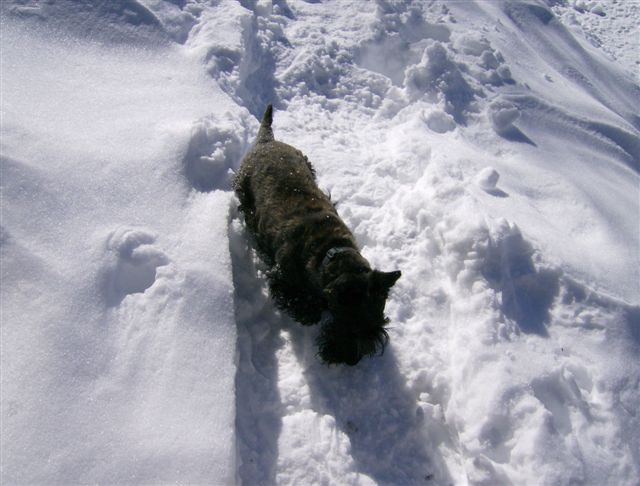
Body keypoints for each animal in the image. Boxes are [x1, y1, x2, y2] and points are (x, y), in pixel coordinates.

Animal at [232, 105, 398, 364]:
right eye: (349, 325)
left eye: (380, 323)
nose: (352, 359)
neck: (330, 250)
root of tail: (267, 141)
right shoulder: (282, 277)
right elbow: (300, 302)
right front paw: (309, 312)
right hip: (244, 193)